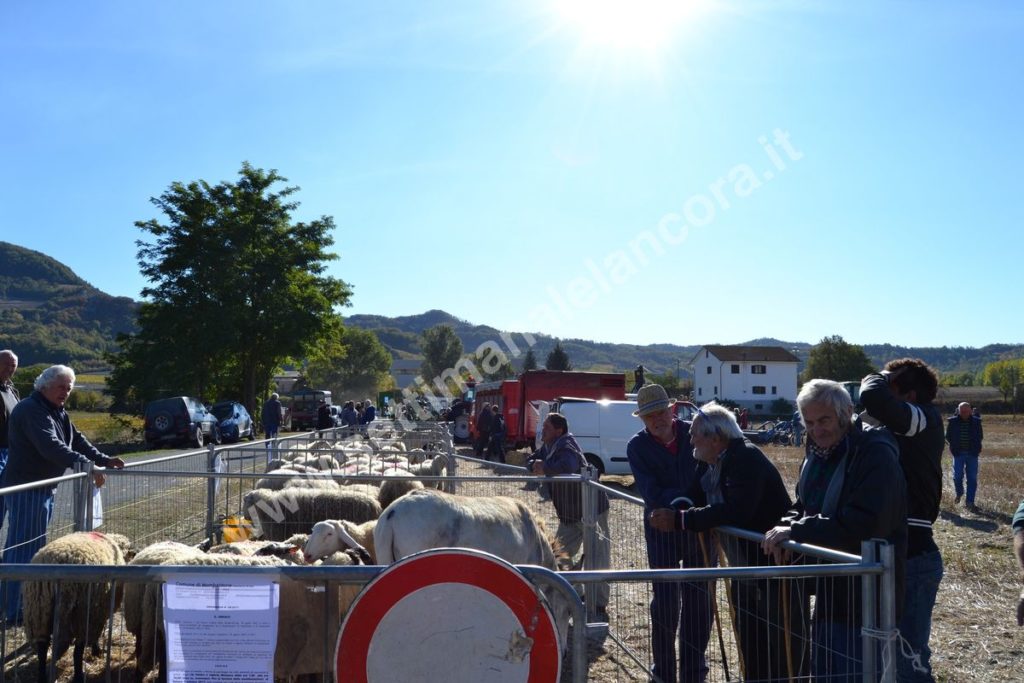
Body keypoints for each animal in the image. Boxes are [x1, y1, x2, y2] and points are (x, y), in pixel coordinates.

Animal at [22, 532, 133, 683]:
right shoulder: (98, 610)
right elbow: (99, 632)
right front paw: (97, 650)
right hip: (81, 613)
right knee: (75, 651)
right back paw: (77, 675)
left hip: (38, 614)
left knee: (42, 648)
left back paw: (42, 676)